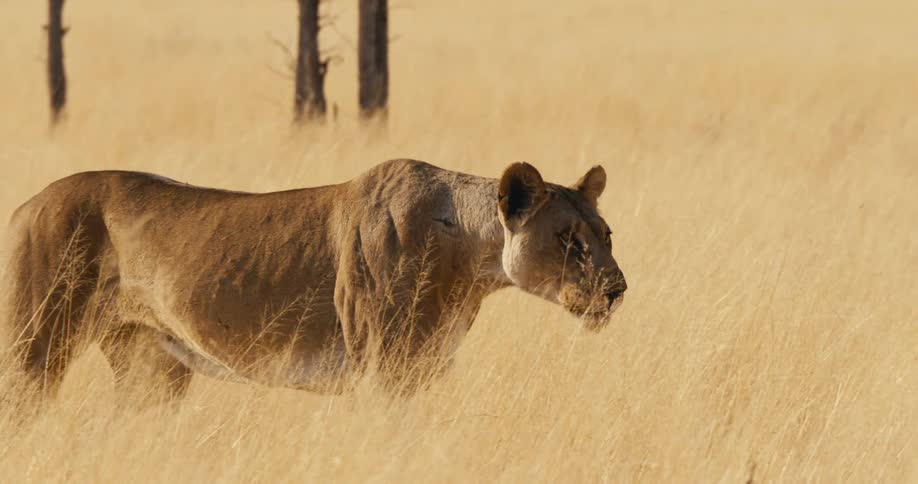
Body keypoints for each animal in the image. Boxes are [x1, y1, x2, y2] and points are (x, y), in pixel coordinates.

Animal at [2, 159, 626, 400]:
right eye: (568, 240)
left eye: (606, 235)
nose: (617, 290)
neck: (472, 260)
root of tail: (28, 203)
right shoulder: (382, 370)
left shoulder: (427, 369)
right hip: (34, 348)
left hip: (150, 366)